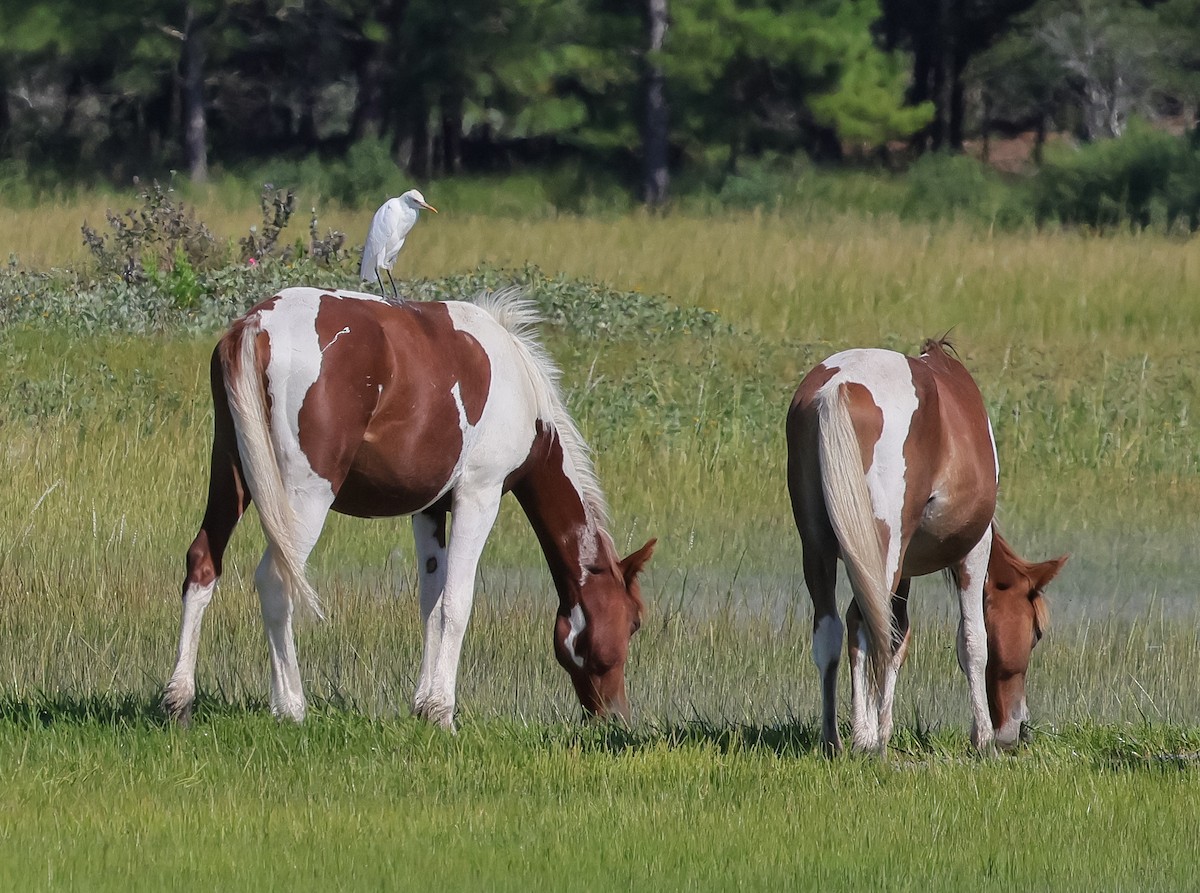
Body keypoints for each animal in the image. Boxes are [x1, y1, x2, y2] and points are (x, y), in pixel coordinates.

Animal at [162, 289, 657, 729]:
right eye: (633, 623)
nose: (615, 718)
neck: (520, 388)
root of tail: (258, 324)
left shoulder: (430, 510)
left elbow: (431, 602)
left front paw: (422, 704)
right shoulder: (478, 495)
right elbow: (457, 602)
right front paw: (441, 712)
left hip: (231, 474)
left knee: (203, 563)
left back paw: (179, 700)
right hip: (306, 497)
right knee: (275, 580)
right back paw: (291, 707)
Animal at [787, 340, 1070, 753]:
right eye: (1035, 634)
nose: (1017, 730)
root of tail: (839, 387)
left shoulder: (904, 569)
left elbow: (900, 635)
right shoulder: (974, 550)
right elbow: (973, 640)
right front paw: (982, 737)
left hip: (820, 550)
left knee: (833, 632)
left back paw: (836, 739)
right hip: (881, 555)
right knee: (865, 626)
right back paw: (872, 738)